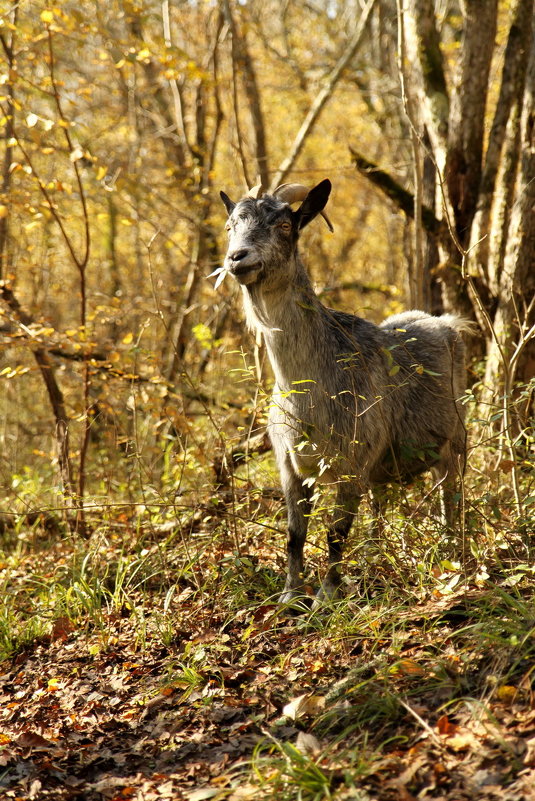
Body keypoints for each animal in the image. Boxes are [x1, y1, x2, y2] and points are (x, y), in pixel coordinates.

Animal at [218, 178, 468, 604]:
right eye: (230, 225)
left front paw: (326, 595)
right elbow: (295, 534)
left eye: (285, 225)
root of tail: (446, 323)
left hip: (454, 444)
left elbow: (336, 534)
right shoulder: (290, 467)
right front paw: (290, 595)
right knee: (384, 503)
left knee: (450, 497)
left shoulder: (352, 465)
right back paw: (381, 554)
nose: (237, 258)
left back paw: (452, 552)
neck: (306, 391)